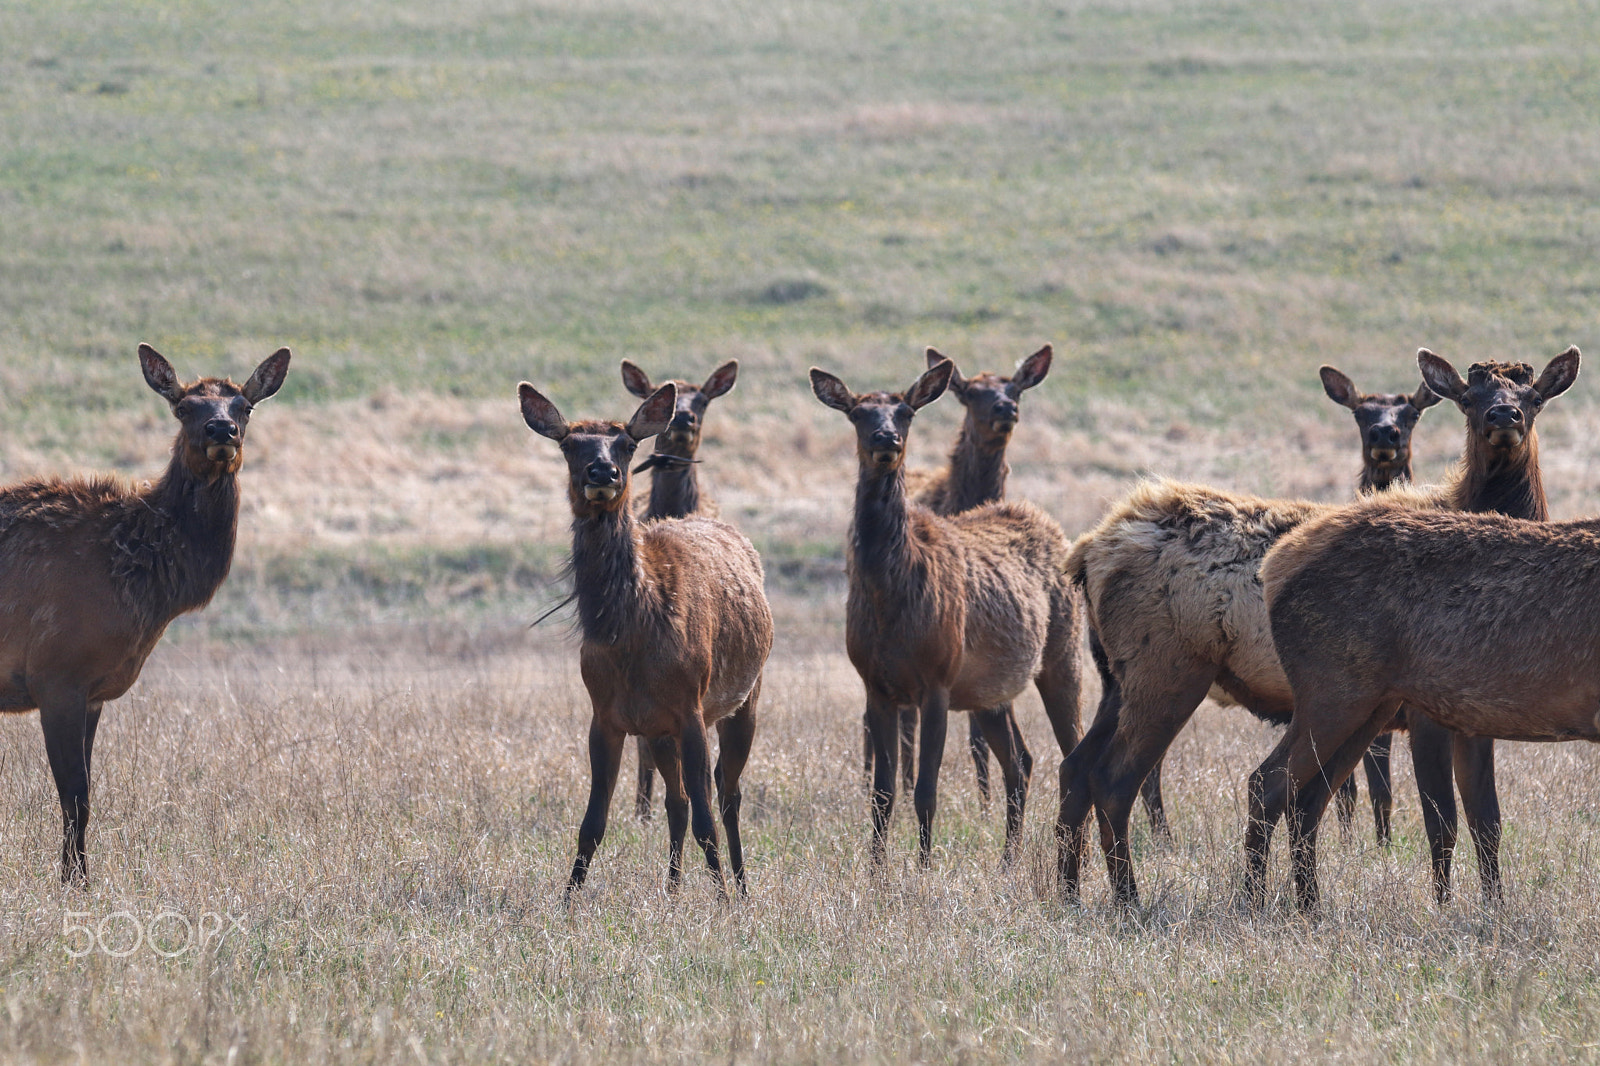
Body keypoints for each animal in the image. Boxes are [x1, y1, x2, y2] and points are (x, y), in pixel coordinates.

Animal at [0, 344, 290, 883]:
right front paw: (76, 883)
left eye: (244, 407)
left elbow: (84, 794)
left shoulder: (93, 691)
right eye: (184, 407)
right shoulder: (56, 674)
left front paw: (76, 876)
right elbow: (74, 794)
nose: (221, 431)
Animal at [810, 358, 1081, 865]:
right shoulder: (875, 684)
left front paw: (923, 867)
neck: (891, 598)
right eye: (858, 413)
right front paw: (877, 870)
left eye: (906, 412)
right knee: (1021, 761)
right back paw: (1008, 860)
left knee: (1070, 752)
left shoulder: (937, 679)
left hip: (1063, 653)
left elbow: (925, 790)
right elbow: (883, 794)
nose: (886, 439)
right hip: (990, 690)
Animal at [1057, 361, 1484, 908]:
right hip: (1168, 675)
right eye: (1359, 414)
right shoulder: (1417, 712)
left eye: (1410, 414)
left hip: (1116, 681)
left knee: (1074, 769)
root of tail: (1088, 551)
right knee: (1116, 779)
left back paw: (1066, 892)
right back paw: (1128, 898)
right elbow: (1424, 811)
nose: (1383, 436)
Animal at [1246, 347, 1580, 912]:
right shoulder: (1430, 712)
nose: (1503, 416)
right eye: (1469, 398)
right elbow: (1440, 818)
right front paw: (1445, 905)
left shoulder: (1478, 712)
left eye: (1534, 397)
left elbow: (1486, 819)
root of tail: (1273, 568)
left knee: (1309, 797)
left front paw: (1494, 905)